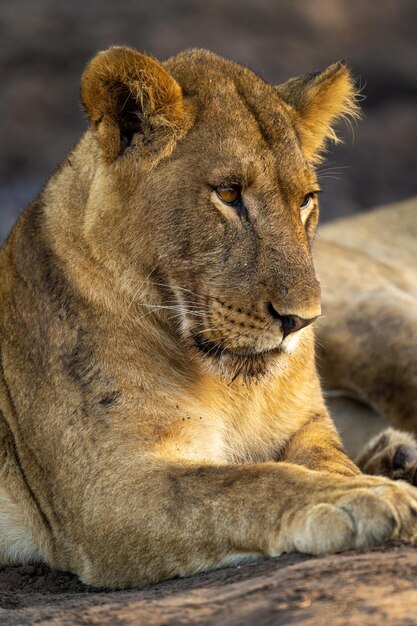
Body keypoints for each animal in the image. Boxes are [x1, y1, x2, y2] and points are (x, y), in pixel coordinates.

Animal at [0, 46, 416, 588]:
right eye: (229, 193)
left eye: (306, 200)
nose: (303, 320)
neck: (228, 385)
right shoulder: (108, 489)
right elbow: (245, 484)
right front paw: (364, 496)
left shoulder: (304, 425)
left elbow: (326, 461)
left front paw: (361, 481)